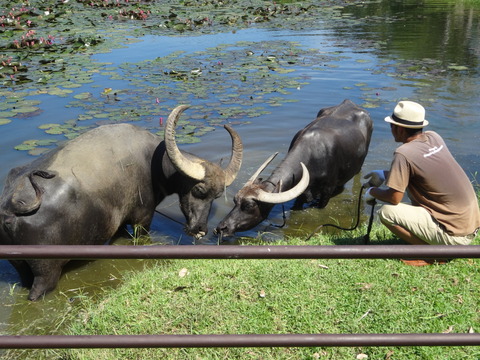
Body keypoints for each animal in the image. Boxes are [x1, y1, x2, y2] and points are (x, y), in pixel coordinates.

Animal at [0, 105, 242, 300]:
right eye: (199, 190)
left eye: (217, 196)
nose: (200, 229)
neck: (152, 163)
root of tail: (11, 207)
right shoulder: (142, 219)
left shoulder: (119, 225)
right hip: (46, 272)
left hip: (20, 266)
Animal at [216, 100, 374, 238]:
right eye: (235, 201)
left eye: (248, 206)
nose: (221, 228)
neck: (313, 155)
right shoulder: (300, 194)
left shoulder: (326, 193)